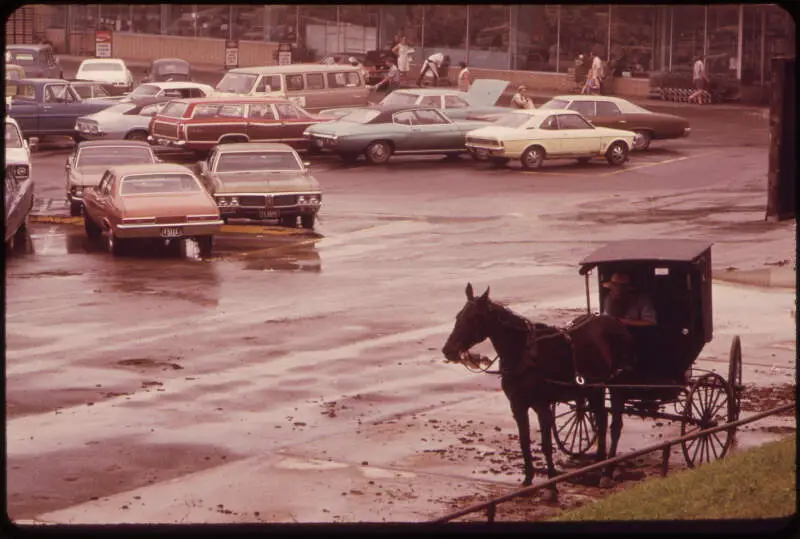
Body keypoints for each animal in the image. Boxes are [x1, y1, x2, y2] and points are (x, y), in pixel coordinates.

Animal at [440, 282, 636, 502]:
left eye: (474, 318)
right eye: (458, 316)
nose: (448, 350)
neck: (524, 354)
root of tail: (615, 322)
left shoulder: (542, 405)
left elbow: (546, 444)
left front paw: (552, 486)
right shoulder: (517, 406)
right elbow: (524, 442)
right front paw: (527, 482)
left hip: (615, 385)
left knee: (614, 425)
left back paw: (607, 471)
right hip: (593, 389)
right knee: (601, 420)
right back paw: (600, 462)